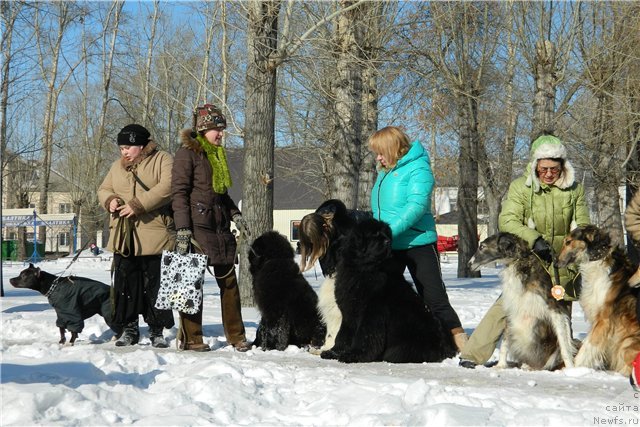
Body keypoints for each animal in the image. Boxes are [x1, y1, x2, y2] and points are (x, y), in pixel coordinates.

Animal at [322, 221, 458, 364]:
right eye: (374, 234)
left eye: (386, 234)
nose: (387, 241)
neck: (363, 270)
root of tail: (447, 349)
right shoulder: (349, 312)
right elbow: (343, 334)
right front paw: (334, 352)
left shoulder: (371, 313)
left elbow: (364, 337)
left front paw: (353, 355)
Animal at [468, 232, 576, 370]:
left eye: (482, 246)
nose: (468, 264)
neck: (520, 264)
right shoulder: (510, 311)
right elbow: (504, 344)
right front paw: (501, 365)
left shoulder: (556, 310)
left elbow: (565, 347)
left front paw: (571, 370)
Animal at [556, 226, 640, 376]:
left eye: (568, 242)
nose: (555, 262)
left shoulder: (604, 320)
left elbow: (588, 346)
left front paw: (574, 370)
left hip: (627, 342)